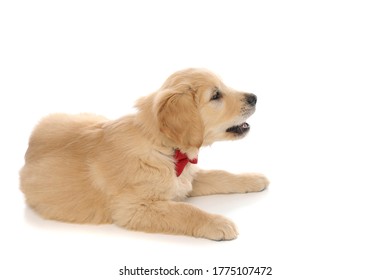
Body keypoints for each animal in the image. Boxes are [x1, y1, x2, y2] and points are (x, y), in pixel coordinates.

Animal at [20, 68, 268, 241]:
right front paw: (217, 222)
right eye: (216, 95)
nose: (255, 97)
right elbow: (185, 210)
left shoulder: (187, 179)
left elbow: (220, 175)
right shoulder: (134, 208)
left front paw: (252, 178)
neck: (166, 149)